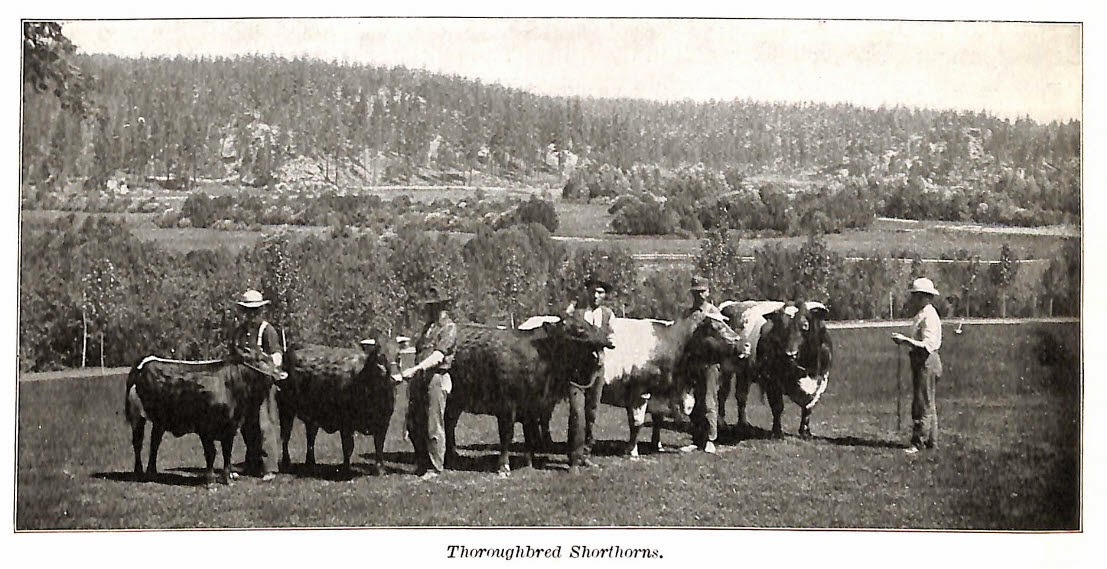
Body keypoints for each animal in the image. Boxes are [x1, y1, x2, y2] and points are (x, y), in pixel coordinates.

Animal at [124, 345, 283, 485]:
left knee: (154, 443)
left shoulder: (230, 427)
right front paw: (211, 481)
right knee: (138, 443)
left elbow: (227, 453)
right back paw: (139, 472)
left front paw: (227, 479)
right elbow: (211, 453)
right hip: (137, 415)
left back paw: (152, 472)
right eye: (260, 359)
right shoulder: (205, 428)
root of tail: (144, 362)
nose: (282, 374)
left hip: (160, 420)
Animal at [277, 337, 402, 478]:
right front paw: (346, 470)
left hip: (312, 416)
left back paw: (311, 463)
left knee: (310, 437)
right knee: (285, 436)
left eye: (398, 356)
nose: (396, 378)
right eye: (380, 358)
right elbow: (348, 447)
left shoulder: (383, 422)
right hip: (285, 409)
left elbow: (379, 445)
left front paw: (380, 469)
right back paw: (286, 462)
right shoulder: (346, 423)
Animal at [444, 311, 614, 475]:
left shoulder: (533, 406)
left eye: (588, 323)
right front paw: (504, 466)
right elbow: (507, 434)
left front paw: (529, 464)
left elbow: (531, 435)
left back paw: (452, 454)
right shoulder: (507, 403)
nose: (608, 338)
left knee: (450, 423)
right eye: (580, 329)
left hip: (456, 401)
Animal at [719, 300, 833, 439]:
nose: (790, 354)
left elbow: (808, 407)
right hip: (725, 369)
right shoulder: (771, 381)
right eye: (781, 327)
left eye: (805, 325)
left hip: (744, 372)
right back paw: (722, 423)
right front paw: (777, 432)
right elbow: (777, 407)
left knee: (741, 395)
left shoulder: (821, 380)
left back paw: (743, 424)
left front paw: (805, 432)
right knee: (723, 393)